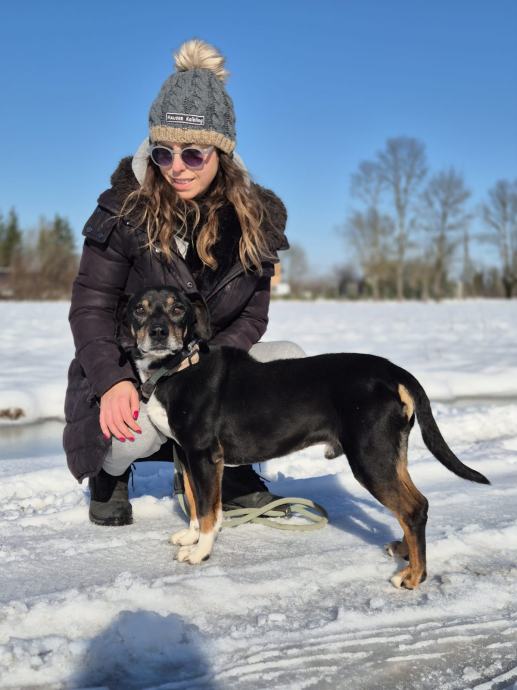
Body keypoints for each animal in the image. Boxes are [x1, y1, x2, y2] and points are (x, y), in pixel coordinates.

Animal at [122, 287, 489, 589]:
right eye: (139, 309)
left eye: (177, 309)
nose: (158, 333)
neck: (178, 368)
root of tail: (393, 371)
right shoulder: (185, 454)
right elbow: (194, 503)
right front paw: (190, 537)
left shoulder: (204, 455)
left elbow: (210, 511)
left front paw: (201, 552)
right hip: (389, 455)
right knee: (415, 504)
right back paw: (404, 552)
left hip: (370, 458)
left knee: (413, 509)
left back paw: (413, 576)